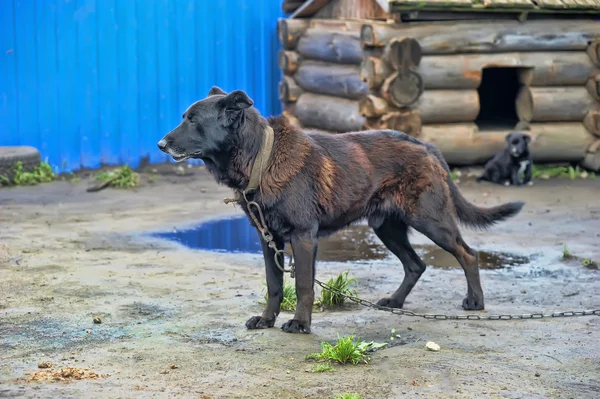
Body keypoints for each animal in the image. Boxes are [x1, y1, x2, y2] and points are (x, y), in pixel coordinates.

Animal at [156, 87, 524, 334]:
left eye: (192, 120)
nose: (160, 144)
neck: (262, 156)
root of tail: (427, 146)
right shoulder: (268, 240)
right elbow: (275, 285)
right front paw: (267, 319)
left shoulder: (304, 238)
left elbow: (304, 285)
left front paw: (300, 323)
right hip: (387, 228)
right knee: (416, 264)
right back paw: (396, 301)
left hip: (431, 221)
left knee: (468, 254)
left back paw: (475, 301)